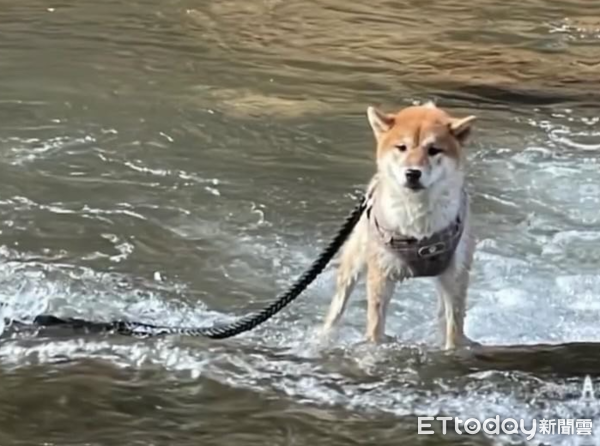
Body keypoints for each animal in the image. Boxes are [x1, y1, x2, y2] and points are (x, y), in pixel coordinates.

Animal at [322, 103, 480, 350]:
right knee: (337, 306)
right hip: (355, 261)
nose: (413, 173)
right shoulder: (381, 274)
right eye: (402, 147)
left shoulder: (456, 275)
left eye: (434, 149)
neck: (418, 227)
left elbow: (454, 328)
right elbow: (375, 326)